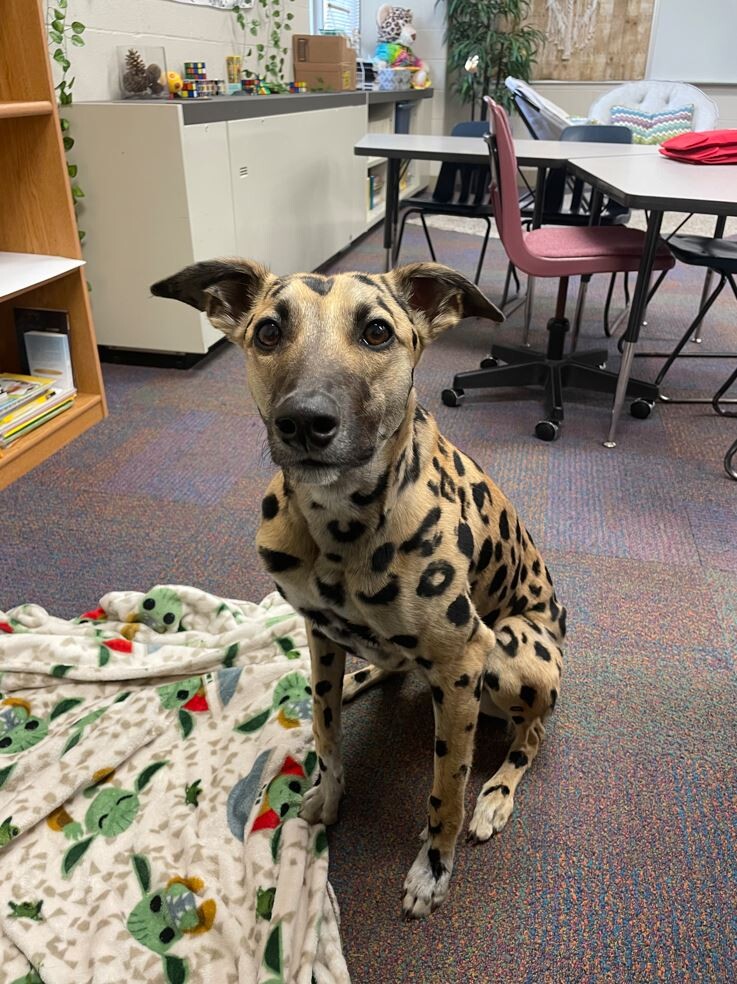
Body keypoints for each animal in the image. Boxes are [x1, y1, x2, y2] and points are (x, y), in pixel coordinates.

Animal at [148, 258, 564, 920]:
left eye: (376, 332)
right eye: (268, 332)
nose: (304, 422)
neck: (340, 522)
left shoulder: (462, 662)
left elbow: (446, 790)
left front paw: (433, 867)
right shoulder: (319, 633)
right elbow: (326, 732)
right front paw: (329, 792)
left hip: (512, 652)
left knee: (531, 734)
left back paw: (497, 793)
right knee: (383, 671)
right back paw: (359, 681)